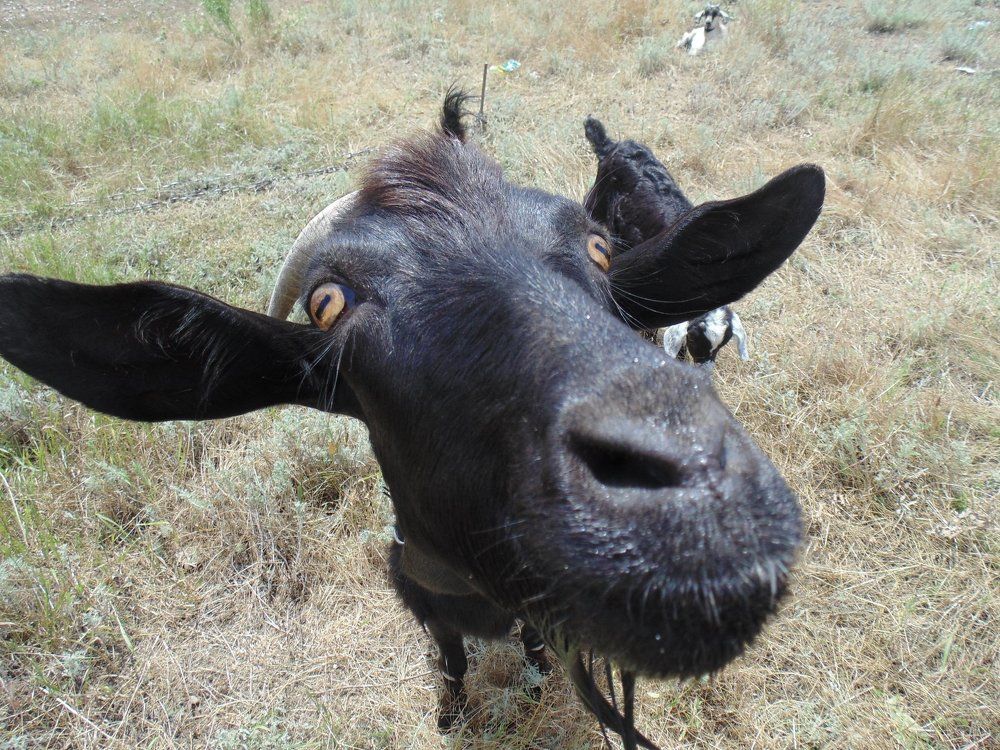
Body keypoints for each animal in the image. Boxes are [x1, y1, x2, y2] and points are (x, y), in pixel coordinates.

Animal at [0, 92, 825, 748]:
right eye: (327, 303)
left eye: (598, 249)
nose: (696, 487)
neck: (477, 594)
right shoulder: (423, 603)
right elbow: (453, 664)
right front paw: (450, 714)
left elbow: (533, 648)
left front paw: (531, 677)